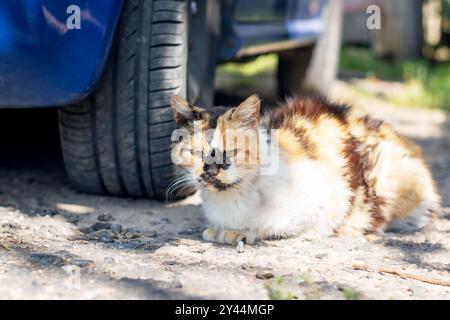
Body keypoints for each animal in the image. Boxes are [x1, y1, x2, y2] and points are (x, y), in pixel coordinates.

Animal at [168, 95, 440, 245]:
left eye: (231, 152)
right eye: (197, 154)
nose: (211, 170)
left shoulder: (325, 203)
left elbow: (270, 222)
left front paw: (237, 232)